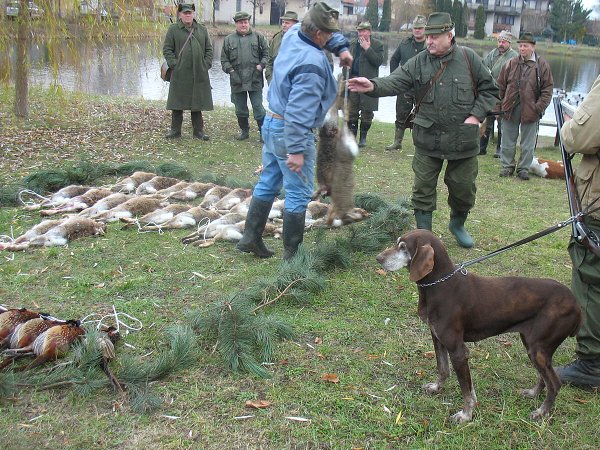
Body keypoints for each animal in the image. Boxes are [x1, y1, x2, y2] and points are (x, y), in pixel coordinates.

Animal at [376, 230, 580, 424]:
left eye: (403, 247)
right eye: (397, 243)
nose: (378, 258)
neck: (441, 285)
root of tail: (576, 304)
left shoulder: (458, 350)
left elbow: (466, 390)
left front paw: (466, 415)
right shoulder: (438, 338)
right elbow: (443, 369)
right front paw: (436, 387)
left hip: (537, 349)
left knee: (555, 383)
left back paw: (542, 412)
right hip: (535, 347)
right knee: (545, 377)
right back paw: (533, 393)